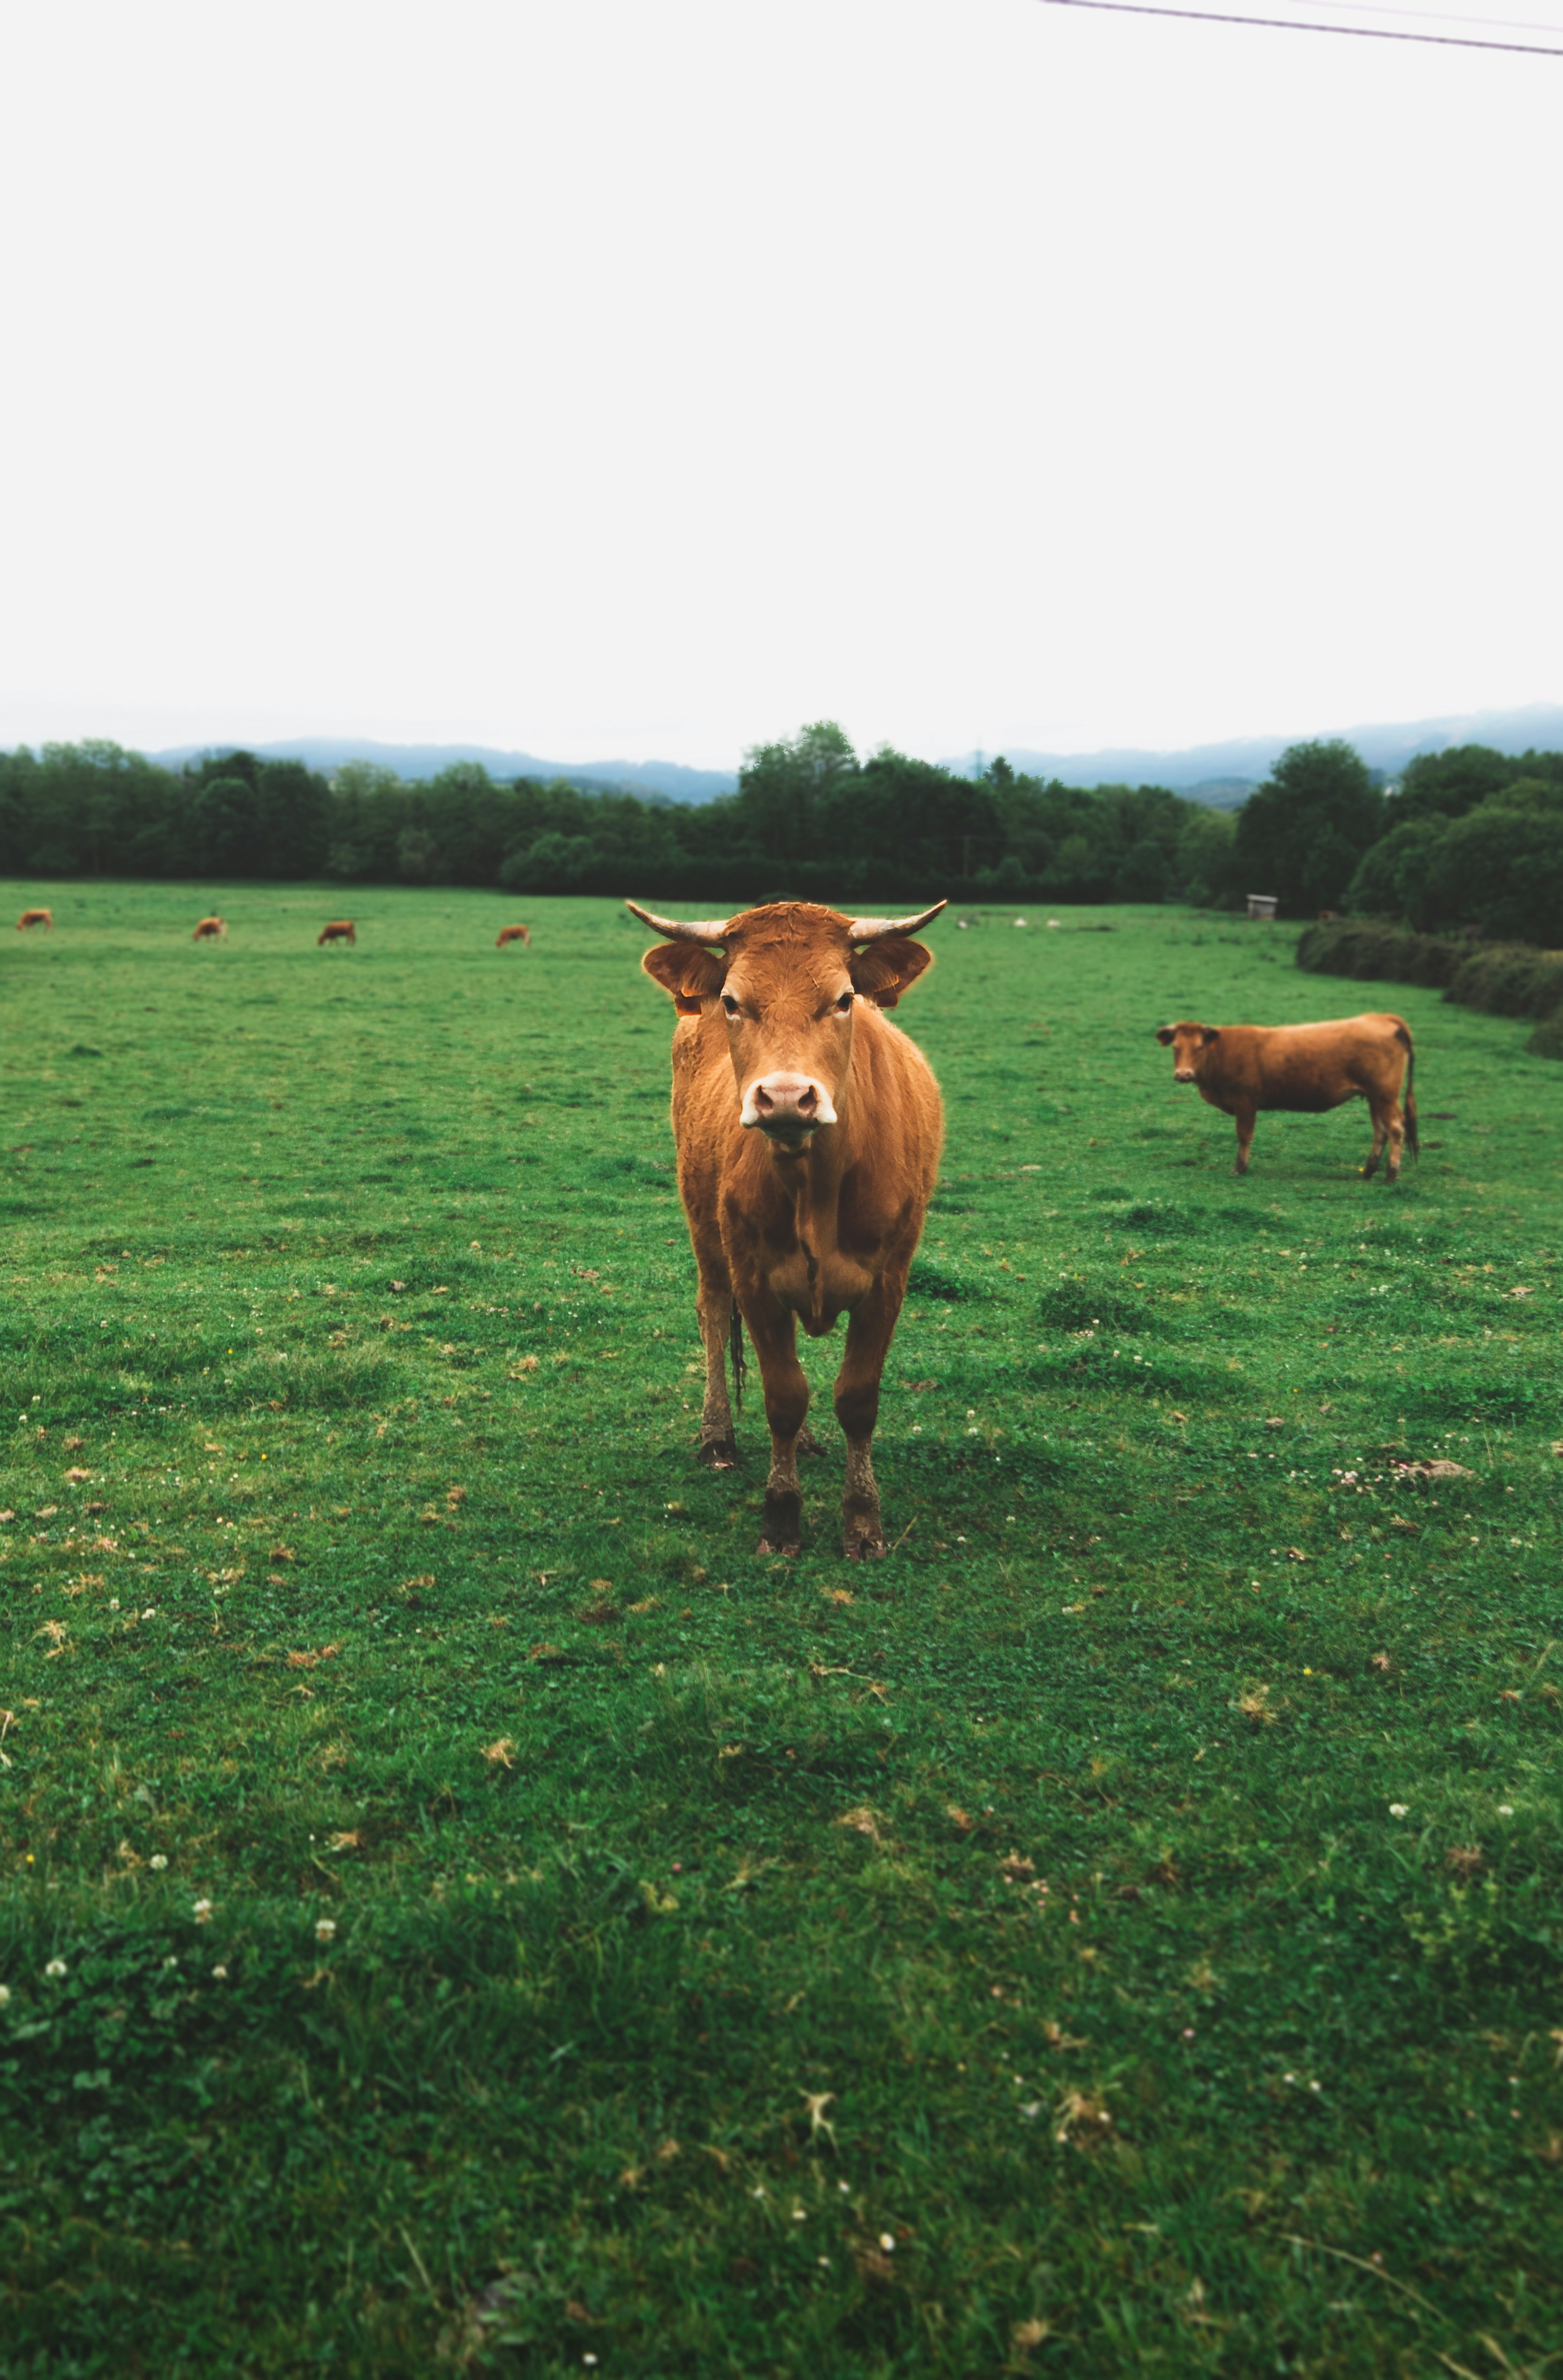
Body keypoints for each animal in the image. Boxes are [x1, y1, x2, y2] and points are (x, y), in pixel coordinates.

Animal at [631, 897, 946, 1558]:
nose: (783, 1098)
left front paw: (863, 1521)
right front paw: (780, 1514)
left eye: (845, 998)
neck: (815, 1189)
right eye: (733, 1001)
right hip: (704, 1230)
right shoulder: (753, 1277)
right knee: (713, 1314)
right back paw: (718, 1436)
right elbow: (783, 1395)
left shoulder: (889, 1282)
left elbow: (856, 1398)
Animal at [1156, 1013, 1418, 1182]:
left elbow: (1244, 1135)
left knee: (1396, 1128)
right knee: (1381, 1131)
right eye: (1175, 1048)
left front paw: (1240, 1168)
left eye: (1199, 1048)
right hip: (1375, 1097)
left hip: (1385, 1095)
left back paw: (1391, 1174)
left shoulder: (1245, 1102)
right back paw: (1369, 1170)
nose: (1183, 1074)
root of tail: (1380, 1017)